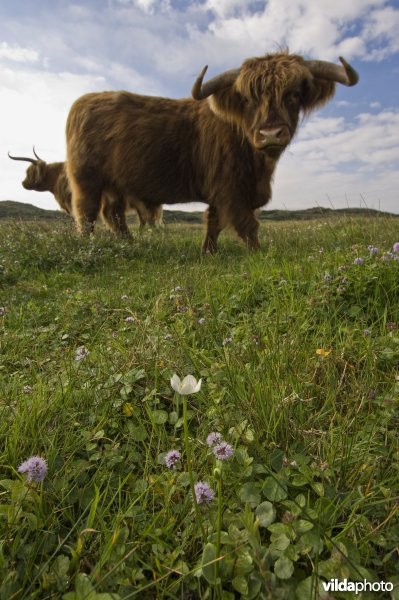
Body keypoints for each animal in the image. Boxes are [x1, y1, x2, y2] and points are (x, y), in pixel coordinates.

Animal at [65, 50, 360, 250]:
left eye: (294, 94)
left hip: (116, 184)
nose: (271, 134)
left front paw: (209, 251)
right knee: (87, 214)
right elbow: (246, 224)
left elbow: (214, 222)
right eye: (247, 99)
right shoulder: (229, 188)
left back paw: (130, 242)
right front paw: (258, 252)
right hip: (87, 180)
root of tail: (82, 102)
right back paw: (89, 247)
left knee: (112, 214)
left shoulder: (224, 192)